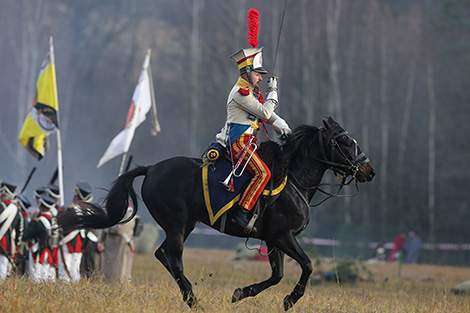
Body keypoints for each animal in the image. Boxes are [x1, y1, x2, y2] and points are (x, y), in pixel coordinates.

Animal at [57, 116, 374, 310]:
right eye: (345, 142)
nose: (368, 171)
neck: (293, 178)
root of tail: (152, 168)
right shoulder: (284, 237)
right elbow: (306, 266)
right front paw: (290, 299)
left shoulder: (274, 240)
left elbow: (277, 275)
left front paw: (240, 293)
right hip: (177, 224)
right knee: (174, 259)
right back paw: (193, 300)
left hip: (186, 225)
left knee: (163, 254)